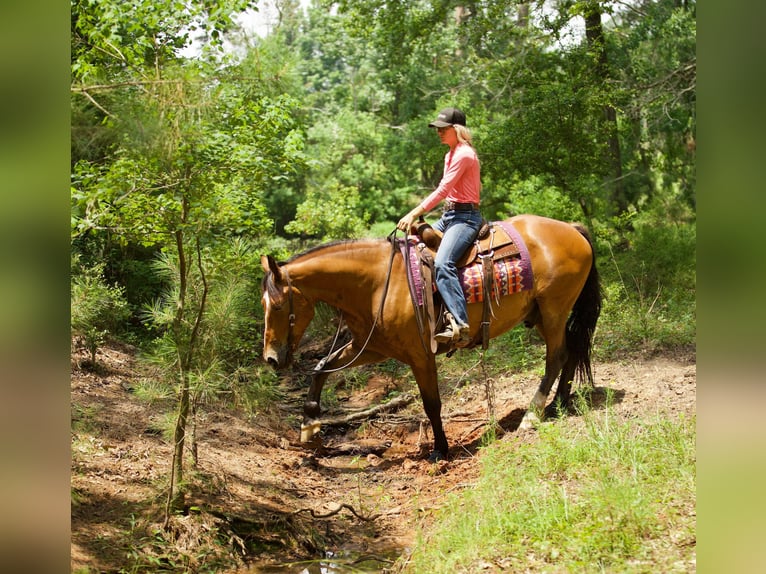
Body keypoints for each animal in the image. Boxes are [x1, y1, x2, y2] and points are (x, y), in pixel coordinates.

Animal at [260, 214, 604, 462]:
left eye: (276, 305)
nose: (271, 358)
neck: (376, 284)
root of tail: (572, 229)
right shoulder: (370, 347)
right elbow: (322, 368)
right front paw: (309, 428)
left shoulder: (420, 354)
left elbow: (431, 403)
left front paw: (440, 448)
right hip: (545, 315)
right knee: (570, 350)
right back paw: (559, 403)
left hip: (554, 310)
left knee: (556, 356)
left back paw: (533, 414)